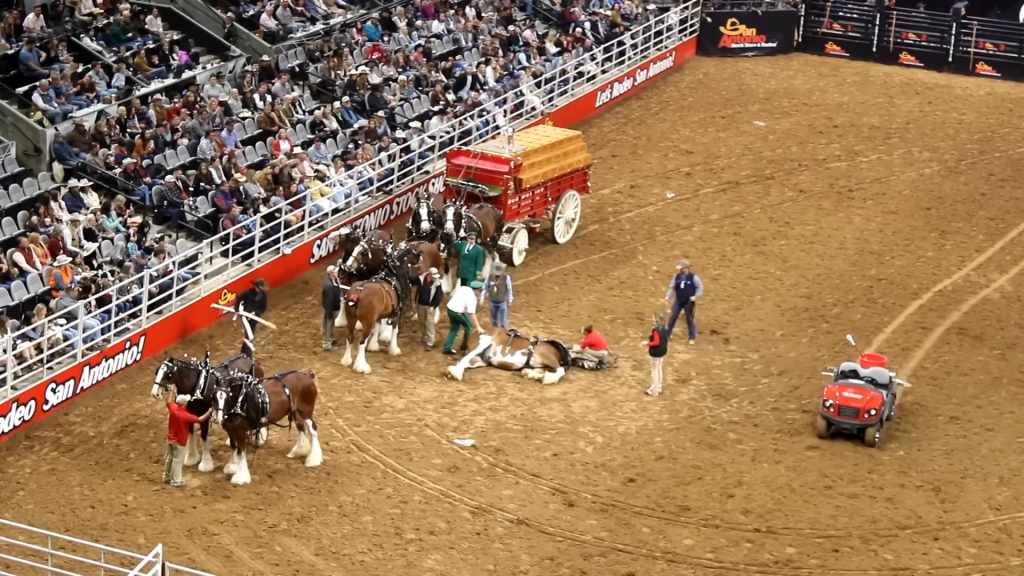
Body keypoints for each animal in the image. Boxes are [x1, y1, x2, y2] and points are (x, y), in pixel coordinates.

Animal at [337, 241, 413, 373]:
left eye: (362, 252)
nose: (348, 266)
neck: (391, 275)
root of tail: (358, 293)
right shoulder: (396, 313)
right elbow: (394, 330)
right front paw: (394, 349)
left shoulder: (378, 316)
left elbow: (377, 327)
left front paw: (373, 346)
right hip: (367, 323)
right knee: (361, 342)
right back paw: (362, 366)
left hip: (351, 319)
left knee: (350, 337)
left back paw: (346, 361)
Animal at [444, 325, 573, 383]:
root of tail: (476, 331)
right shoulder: (548, 357)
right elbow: (560, 370)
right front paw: (549, 378)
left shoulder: (541, 365)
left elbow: (536, 371)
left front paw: (530, 374)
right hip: (483, 343)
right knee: (464, 359)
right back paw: (456, 373)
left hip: (481, 360)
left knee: (463, 361)